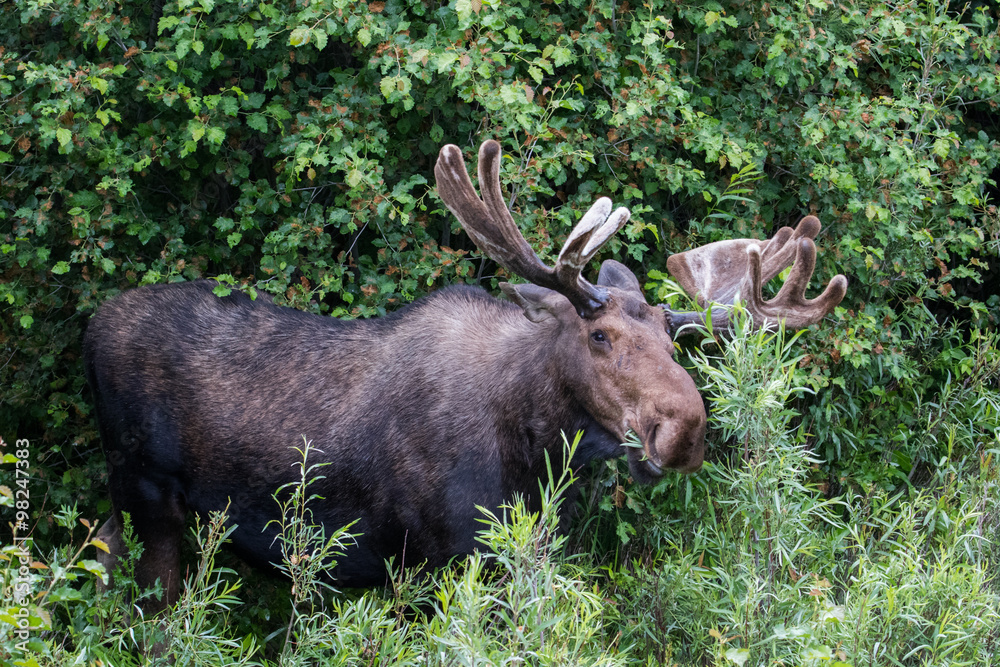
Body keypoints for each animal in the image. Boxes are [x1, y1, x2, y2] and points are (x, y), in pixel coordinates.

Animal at [86, 140, 848, 612]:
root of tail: (89, 327)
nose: (683, 430)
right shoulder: (436, 558)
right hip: (147, 499)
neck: (535, 451)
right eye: (598, 334)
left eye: (671, 340)